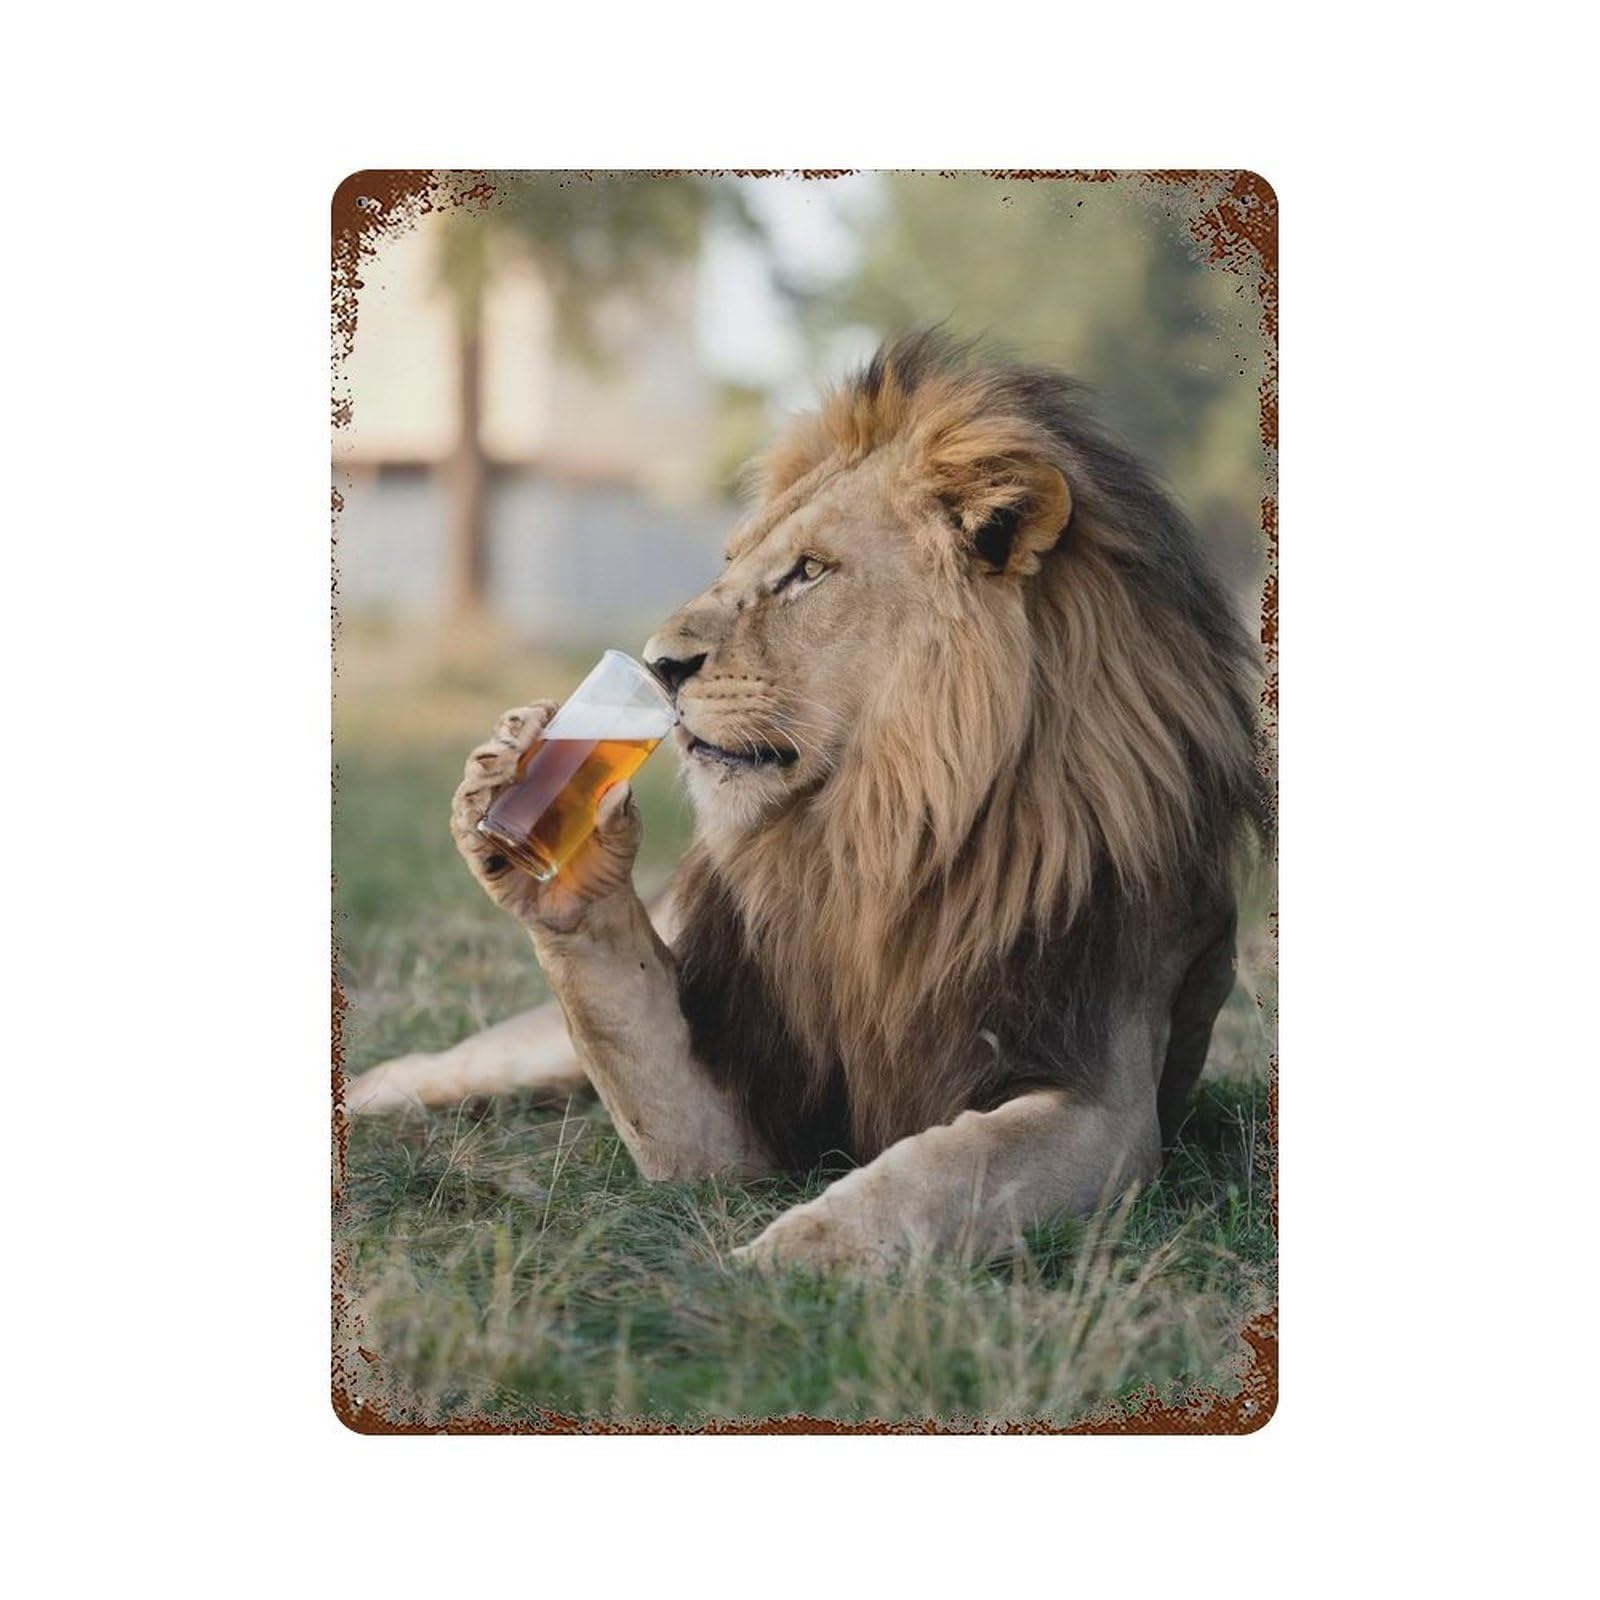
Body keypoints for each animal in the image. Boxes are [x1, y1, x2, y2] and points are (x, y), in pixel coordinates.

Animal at [346, 331, 1265, 1271]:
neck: (881, 833)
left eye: (809, 573)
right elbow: (624, 1030)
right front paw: (524, 814)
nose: (658, 664)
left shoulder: (1107, 1102)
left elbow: (941, 1172)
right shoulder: (747, 1110)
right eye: (733, 561)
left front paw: (771, 1262)